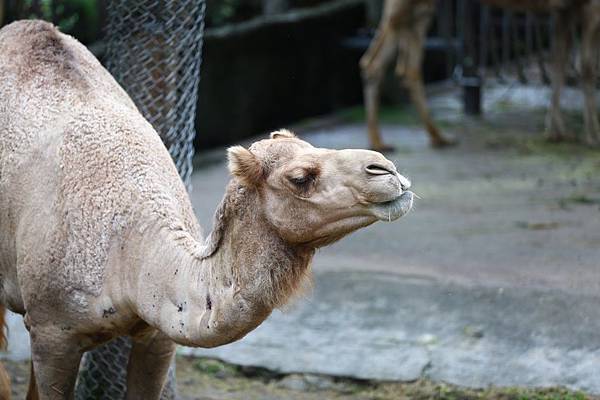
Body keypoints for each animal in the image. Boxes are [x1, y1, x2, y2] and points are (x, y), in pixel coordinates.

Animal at [360, 0, 600, 150]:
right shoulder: (585, 5)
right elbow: (586, 67)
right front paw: (592, 136)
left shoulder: (565, 9)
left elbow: (560, 63)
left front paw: (557, 132)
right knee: (380, 61)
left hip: (421, 8)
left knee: (394, 65)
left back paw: (431, 137)